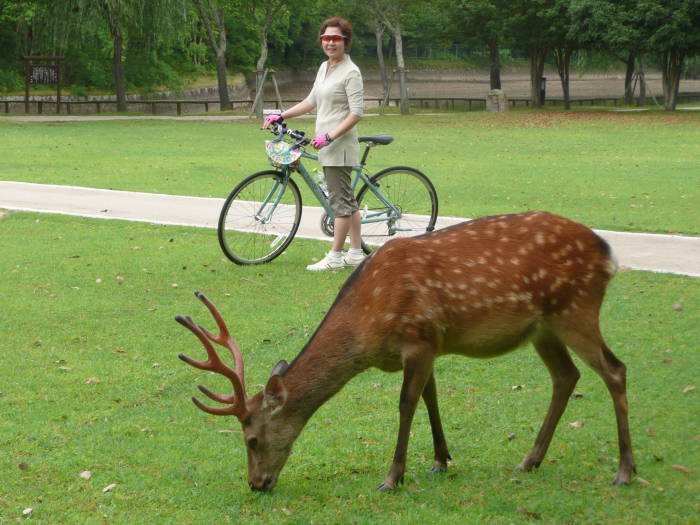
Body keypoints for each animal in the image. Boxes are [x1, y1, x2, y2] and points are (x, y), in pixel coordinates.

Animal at [175, 209, 636, 492]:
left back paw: (625, 470)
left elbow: (406, 404)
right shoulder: (428, 345)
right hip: (543, 326)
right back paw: (529, 460)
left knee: (614, 369)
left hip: (575, 308)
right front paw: (440, 460)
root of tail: (608, 252)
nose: (256, 484)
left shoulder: (417, 338)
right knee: (566, 376)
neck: (367, 328)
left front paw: (393, 477)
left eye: (251, 439)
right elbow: (431, 398)